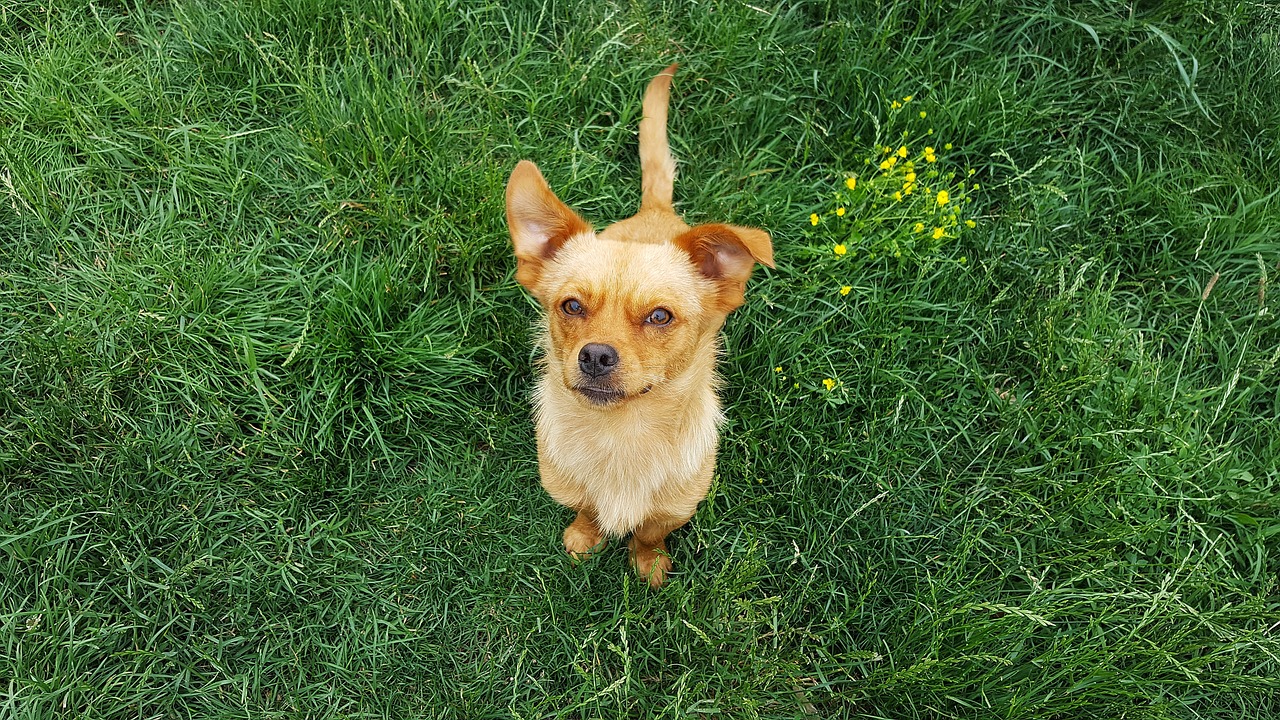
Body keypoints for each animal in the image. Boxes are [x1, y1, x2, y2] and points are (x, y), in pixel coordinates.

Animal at [504, 64, 773, 586]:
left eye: (659, 316)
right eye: (571, 306)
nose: (595, 355)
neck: (621, 436)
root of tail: (655, 211)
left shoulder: (677, 506)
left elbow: (650, 530)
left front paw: (648, 563)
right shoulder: (570, 486)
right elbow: (588, 509)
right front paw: (585, 537)